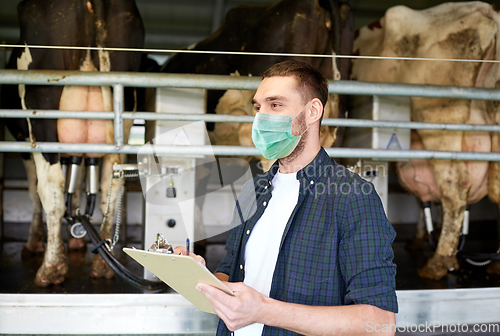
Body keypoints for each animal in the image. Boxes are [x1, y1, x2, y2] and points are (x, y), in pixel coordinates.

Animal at [0, 0, 145, 288]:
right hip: (123, 114)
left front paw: (34, 242)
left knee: (51, 187)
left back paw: (51, 267)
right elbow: (76, 187)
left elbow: (34, 192)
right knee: (111, 183)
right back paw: (102, 264)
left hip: (41, 109)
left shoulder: (24, 142)